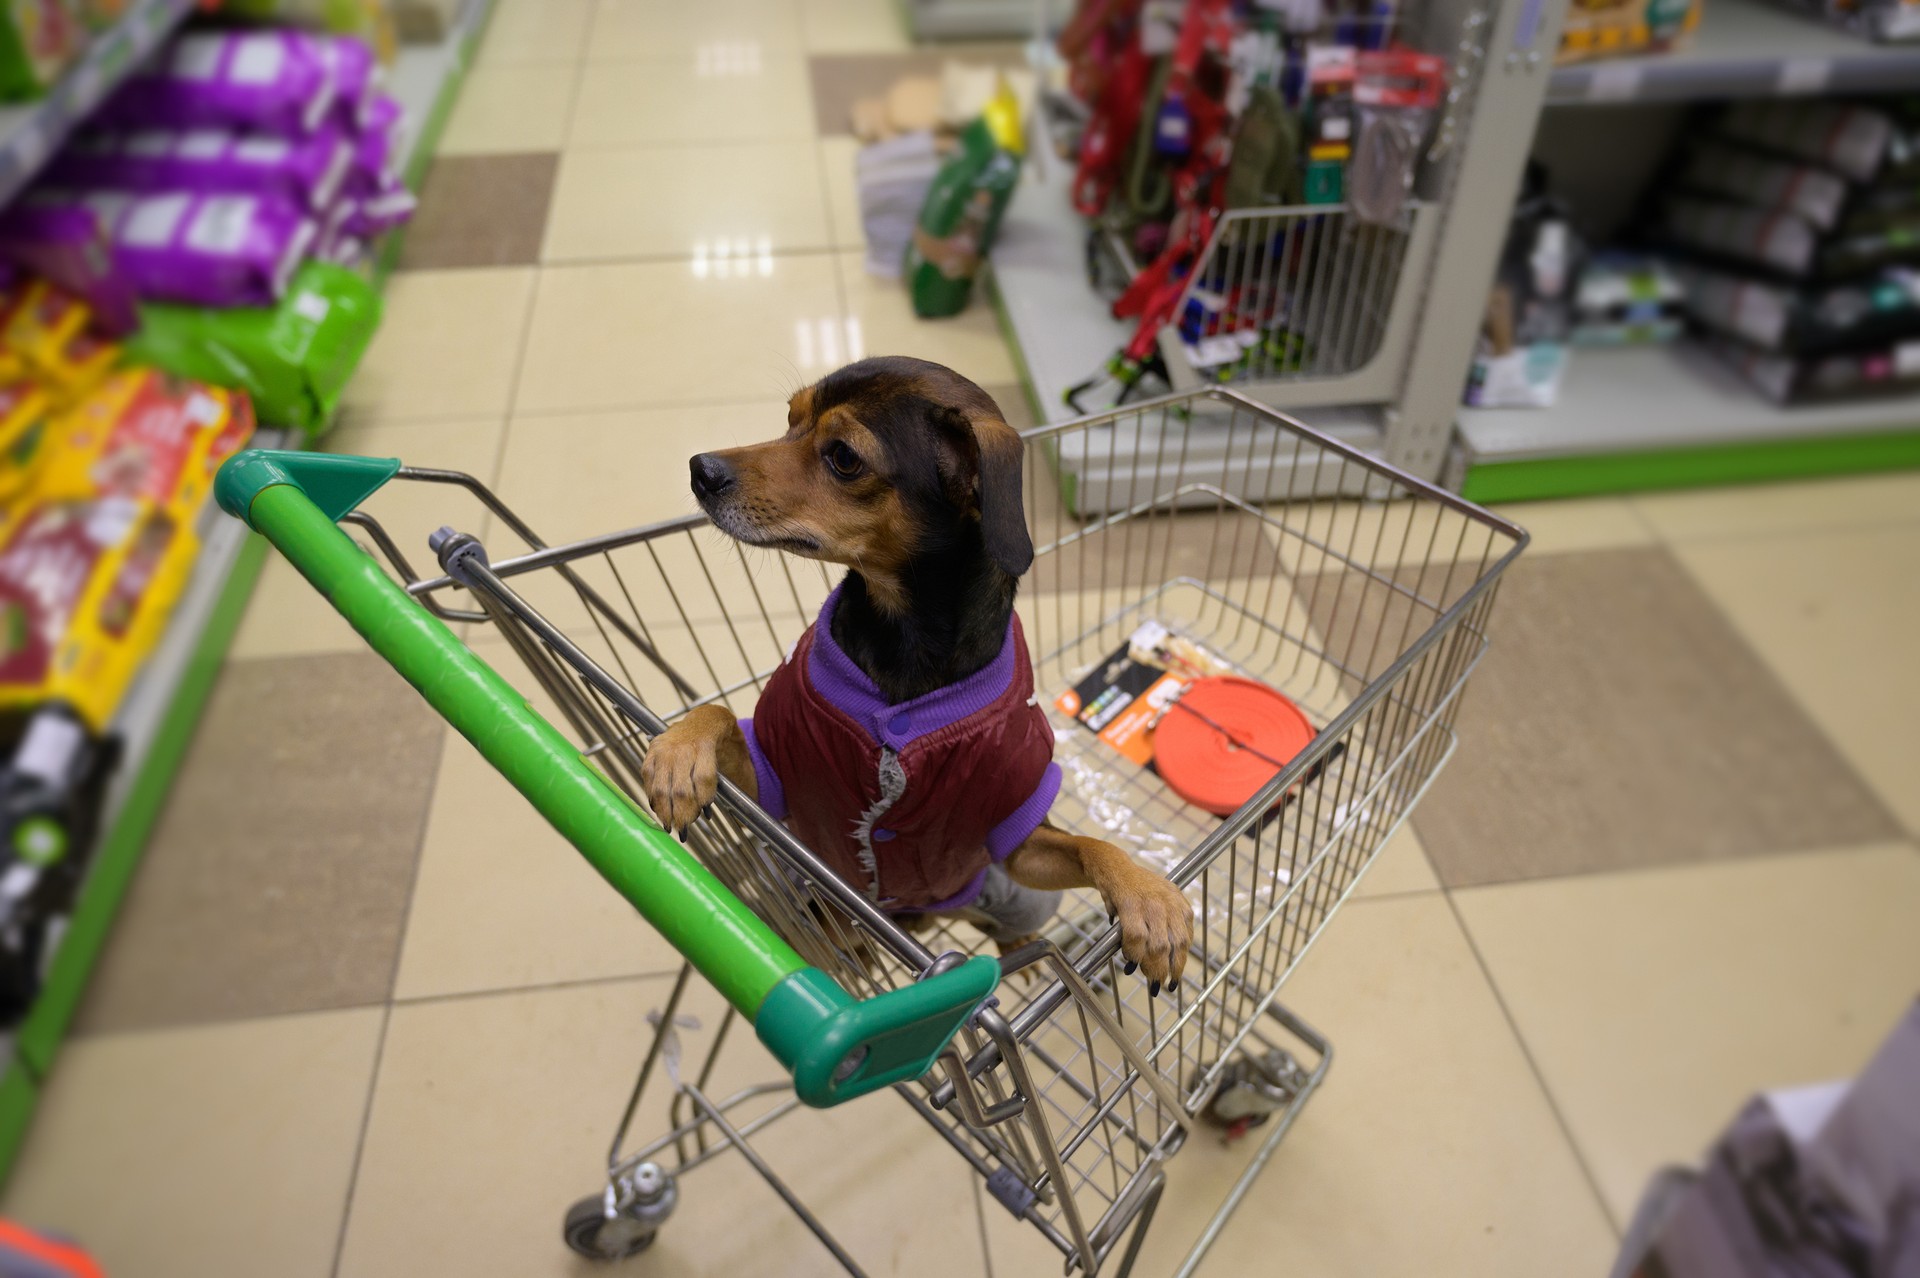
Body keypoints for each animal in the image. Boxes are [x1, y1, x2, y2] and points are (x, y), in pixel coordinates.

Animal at [637, 353, 1190, 990]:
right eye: (790, 418)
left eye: (844, 457)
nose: (701, 469)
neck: (907, 639)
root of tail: (917, 922)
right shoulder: (777, 789)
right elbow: (721, 712)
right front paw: (680, 751)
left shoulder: (1019, 844)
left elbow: (1094, 846)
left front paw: (1151, 899)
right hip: (801, 885)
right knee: (828, 931)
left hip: (1013, 894)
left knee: (1006, 923)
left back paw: (1016, 948)